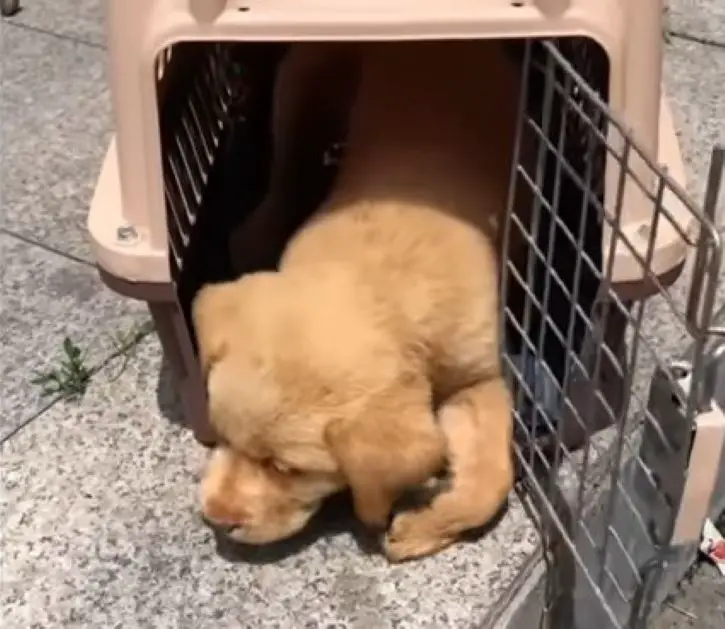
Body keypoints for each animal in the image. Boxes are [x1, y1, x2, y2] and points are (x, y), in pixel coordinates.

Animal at [195, 39, 528, 560]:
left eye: (288, 469)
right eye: (221, 433)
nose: (216, 517)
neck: (379, 283)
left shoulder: (479, 375)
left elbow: (493, 476)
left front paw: (422, 527)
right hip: (301, 88)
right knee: (286, 168)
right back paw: (256, 231)